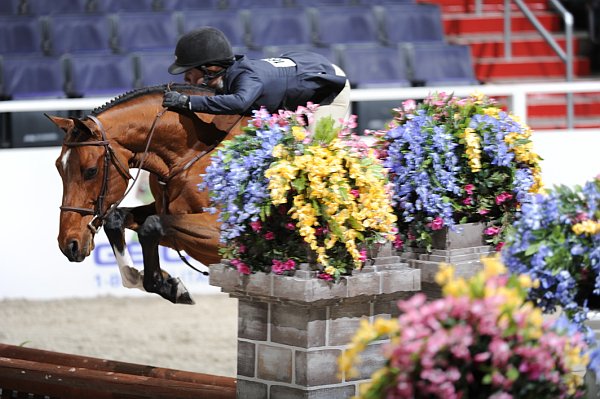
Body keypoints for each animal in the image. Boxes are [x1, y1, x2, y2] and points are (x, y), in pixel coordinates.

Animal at [47, 83, 248, 304]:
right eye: (58, 167)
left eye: (91, 171)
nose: (69, 244)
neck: (194, 152)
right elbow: (117, 221)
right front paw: (166, 284)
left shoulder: (223, 233)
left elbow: (151, 226)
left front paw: (166, 284)